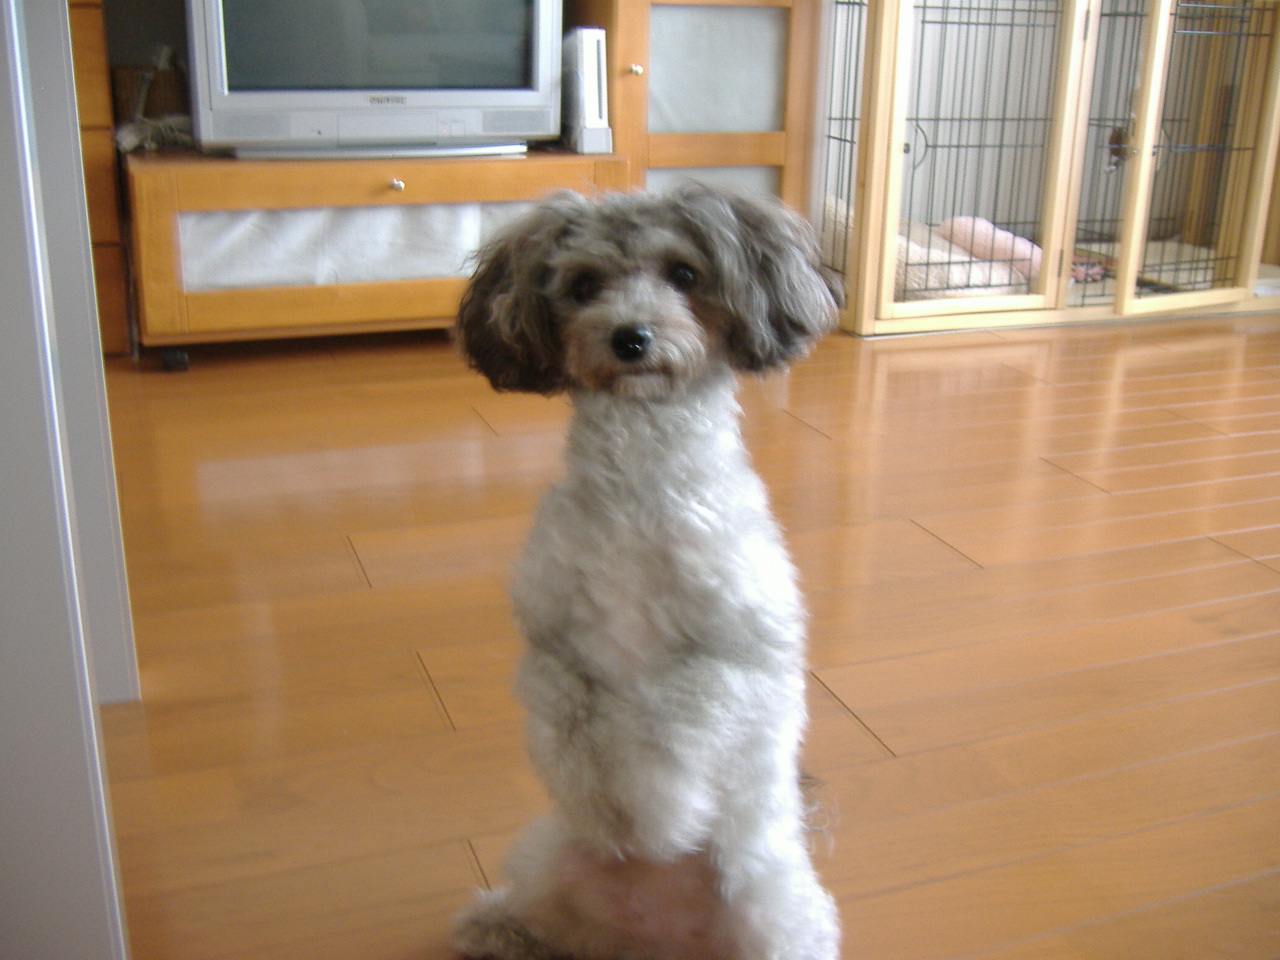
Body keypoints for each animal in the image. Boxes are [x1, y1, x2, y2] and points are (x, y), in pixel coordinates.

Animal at [451, 184, 840, 960]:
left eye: (684, 274)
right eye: (583, 286)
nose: (630, 337)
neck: (638, 493)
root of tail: (657, 947)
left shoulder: (739, 656)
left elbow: (670, 723)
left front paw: (658, 814)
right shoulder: (551, 640)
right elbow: (567, 725)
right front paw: (603, 806)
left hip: (772, 909)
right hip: (545, 859)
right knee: (541, 913)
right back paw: (497, 928)